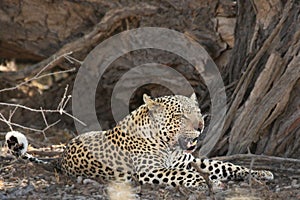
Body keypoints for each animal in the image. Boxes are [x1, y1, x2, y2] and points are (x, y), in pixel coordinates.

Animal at [4, 93, 274, 190]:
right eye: (181, 116)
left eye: (197, 112)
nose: (200, 126)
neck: (167, 145)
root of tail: (59, 157)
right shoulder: (149, 171)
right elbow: (186, 174)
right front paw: (207, 182)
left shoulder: (188, 160)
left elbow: (225, 165)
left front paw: (259, 173)